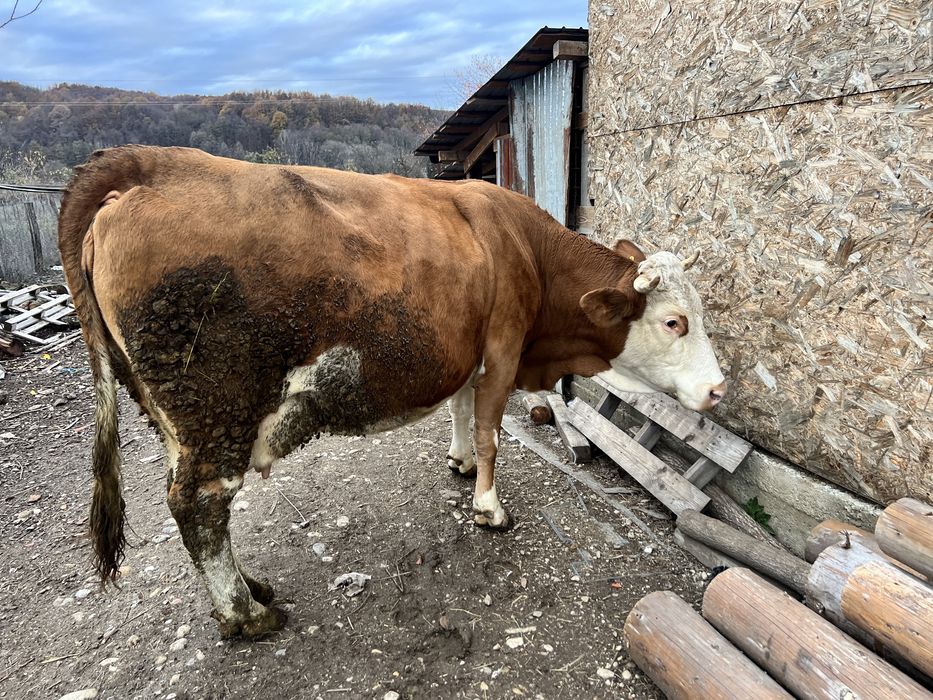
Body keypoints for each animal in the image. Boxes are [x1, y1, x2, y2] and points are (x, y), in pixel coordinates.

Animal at [58, 145, 726, 638]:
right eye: (674, 322)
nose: (718, 389)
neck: (526, 249)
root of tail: (148, 164)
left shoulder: (471, 348)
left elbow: (461, 409)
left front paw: (459, 463)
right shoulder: (505, 346)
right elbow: (491, 431)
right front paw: (489, 506)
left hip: (173, 419)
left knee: (194, 505)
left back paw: (252, 588)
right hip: (214, 410)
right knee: (200, 506)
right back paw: (246, 614)